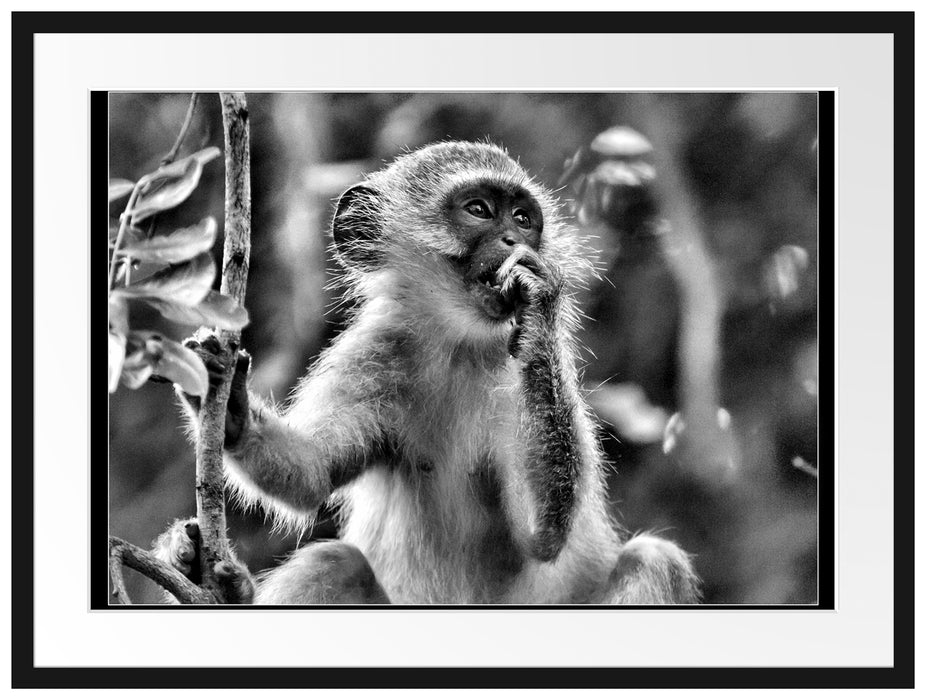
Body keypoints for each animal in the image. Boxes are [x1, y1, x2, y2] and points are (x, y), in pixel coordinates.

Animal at [156, 139, 700, 604]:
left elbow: (542, 533)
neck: (459, 344)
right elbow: (312, 474)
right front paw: (226, 402)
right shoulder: (375, 351)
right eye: (478, 210)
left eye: (524, 219)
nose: (513, 239)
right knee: (330, 563)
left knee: (655, 560)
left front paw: (541, 307)